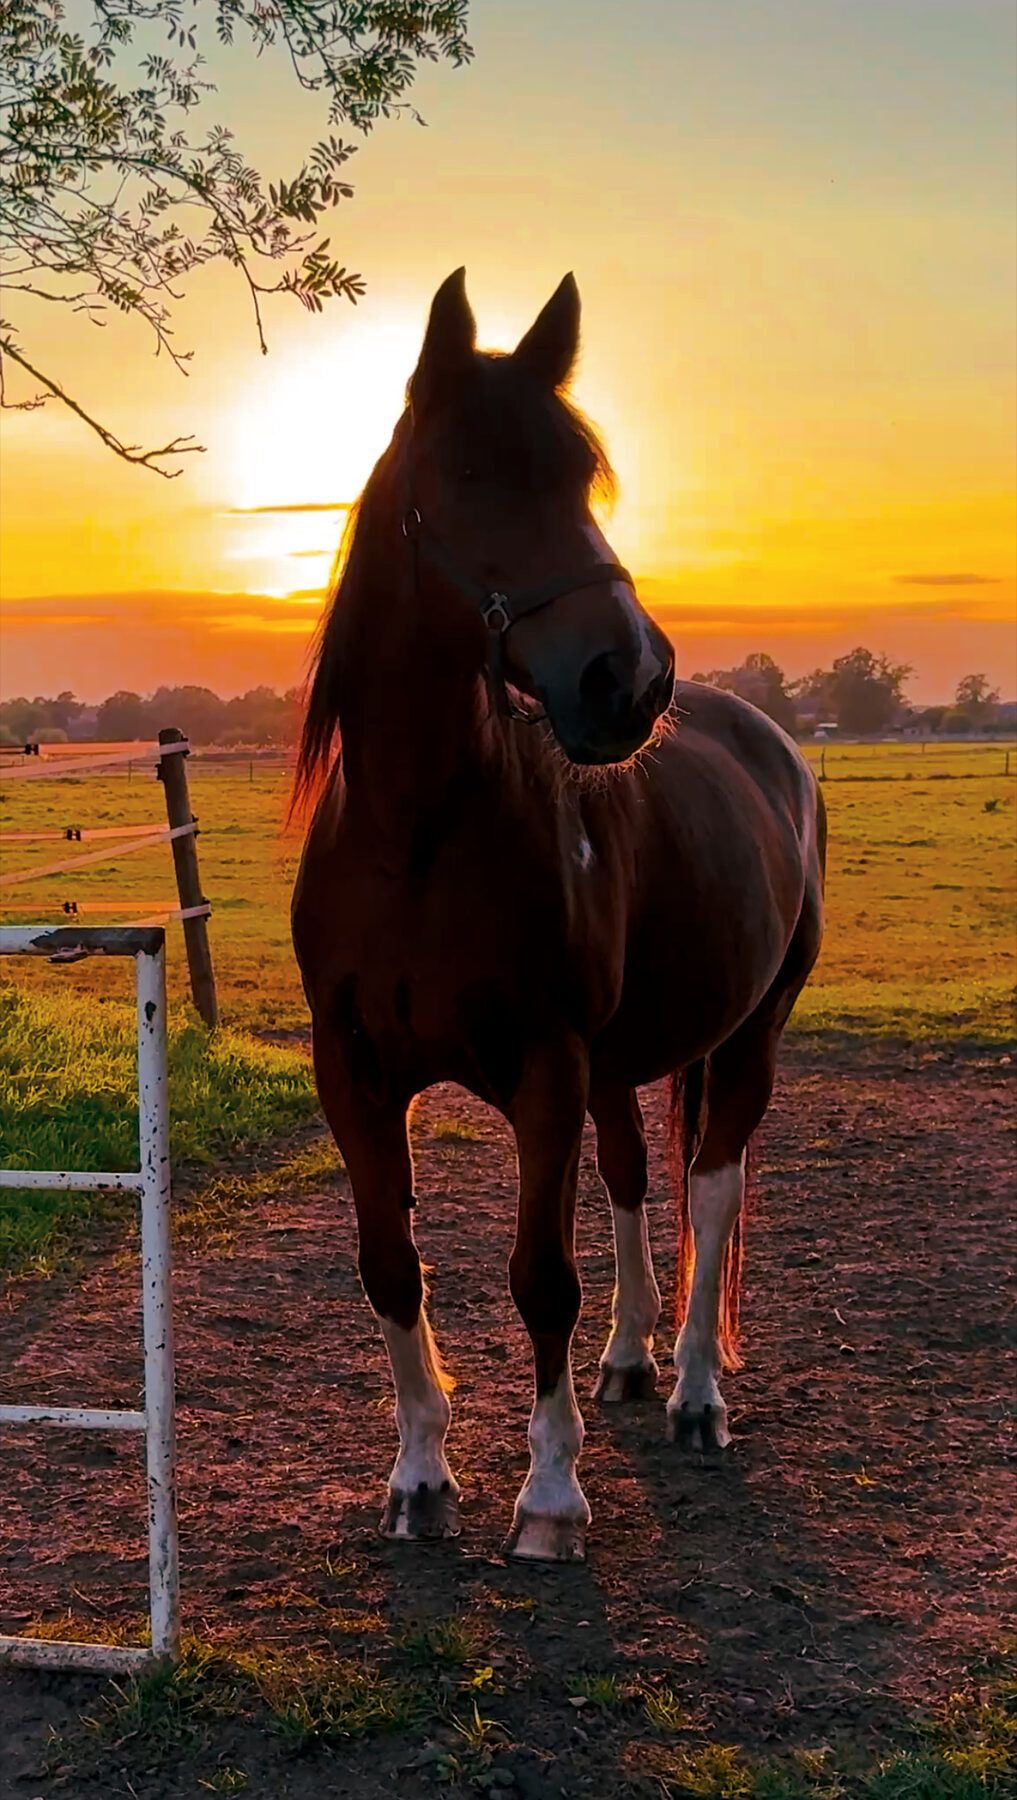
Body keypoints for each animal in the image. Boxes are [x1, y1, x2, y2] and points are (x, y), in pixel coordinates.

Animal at [291, 269, 825, 1563]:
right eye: (470, 474)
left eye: (584, 475)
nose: (628, 680)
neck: (417, 835)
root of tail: (771, 744)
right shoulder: (355, 1071)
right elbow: (392, 1265)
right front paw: (421, 1479)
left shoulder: (544, 1066)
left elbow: (542, 1276)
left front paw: (548, 1496)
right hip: (623, 1062)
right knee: (637, 1180)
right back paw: (631, 1363)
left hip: (750, 1035)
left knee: (713, 1187)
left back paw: (695, 1393)